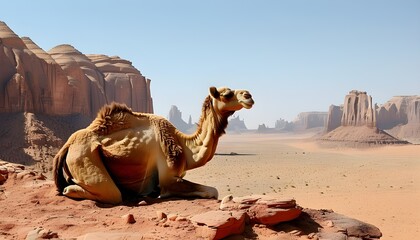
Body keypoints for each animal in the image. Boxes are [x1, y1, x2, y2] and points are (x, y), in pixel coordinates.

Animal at [54, 87, 254, 203]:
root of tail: (67, 145)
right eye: (227, 94)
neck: (185, 146)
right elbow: (213, 191)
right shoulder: (168, 179)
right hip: (84, 157)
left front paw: (151, 192)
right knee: (108, 192)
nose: (249, 95)